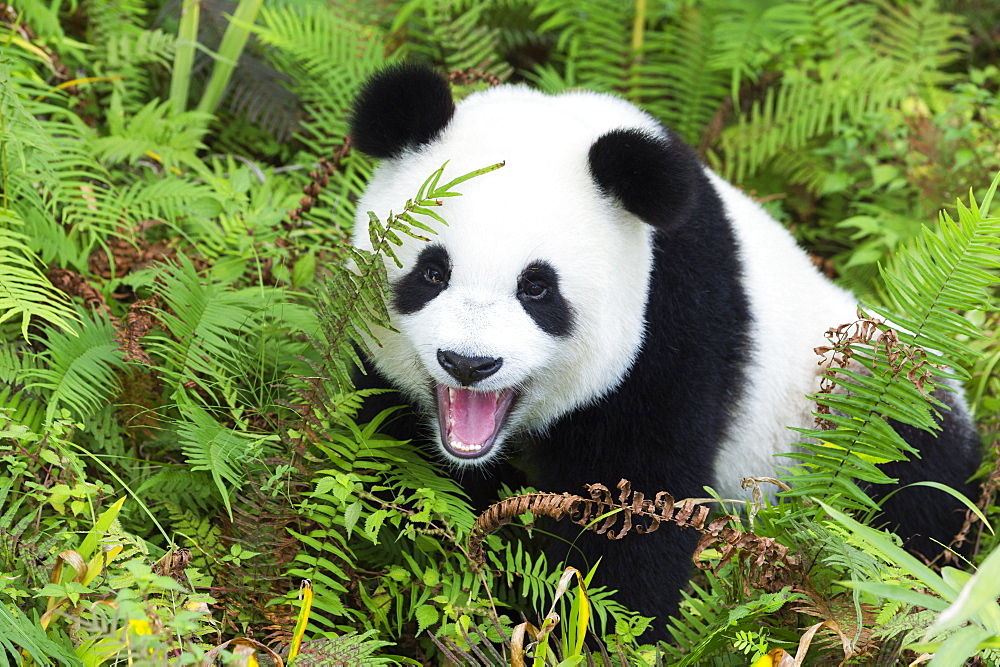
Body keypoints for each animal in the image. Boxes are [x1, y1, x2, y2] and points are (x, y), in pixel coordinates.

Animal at [344, 65, 976, 640]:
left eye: (537, 288)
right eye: (432, 272)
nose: (469, 364)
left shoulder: (674, 318)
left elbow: (639, 500)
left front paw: (612, 629)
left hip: (854, 401)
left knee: (915, 482)